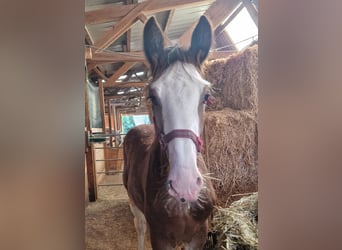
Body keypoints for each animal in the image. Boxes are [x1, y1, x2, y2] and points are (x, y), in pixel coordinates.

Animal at [121, 16, 215, 250]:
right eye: (152, 97)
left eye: (206, 96)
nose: (185, 184)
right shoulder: (160, 237)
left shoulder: (199, 234)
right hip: (134, 203)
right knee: (139, 227)